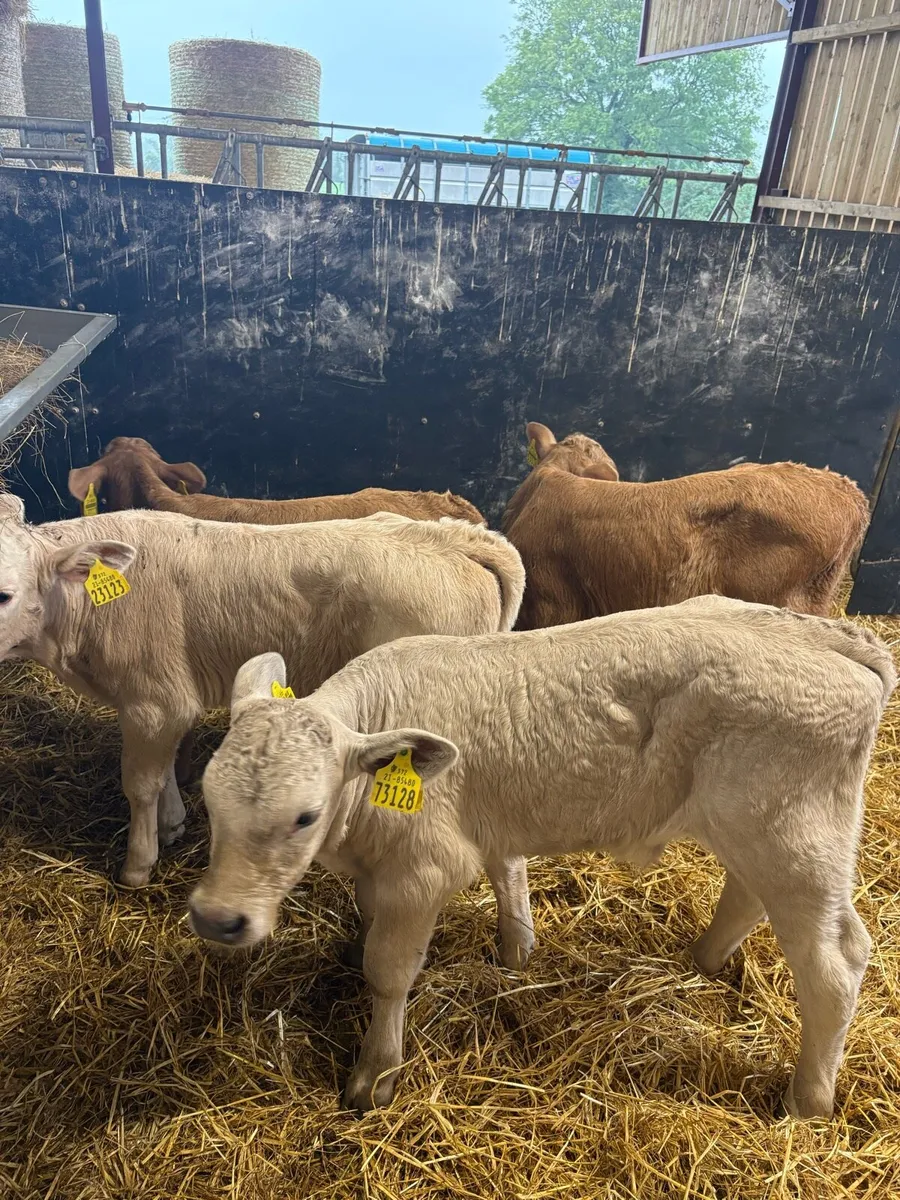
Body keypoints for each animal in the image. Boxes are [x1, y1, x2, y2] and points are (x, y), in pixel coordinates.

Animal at [0, 494, 523, 887]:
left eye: (4, 594)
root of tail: (457, 538)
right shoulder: (165, 703)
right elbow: (165, 769)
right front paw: (172, 824)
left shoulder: (153, 701)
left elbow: (140, 784)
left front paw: (136, 866)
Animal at [189, 596, 894, 1120]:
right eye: (208, 797)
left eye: (305, 815)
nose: (218, 918)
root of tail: (837, 637)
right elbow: (506, 872)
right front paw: (515, 949)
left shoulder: (425, 868)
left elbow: (388, 970)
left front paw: (374, 1076)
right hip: (755, 829)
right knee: (749, 897)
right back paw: (702, 961)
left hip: (794, 836)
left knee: (835, 964)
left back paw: (807, 1101)